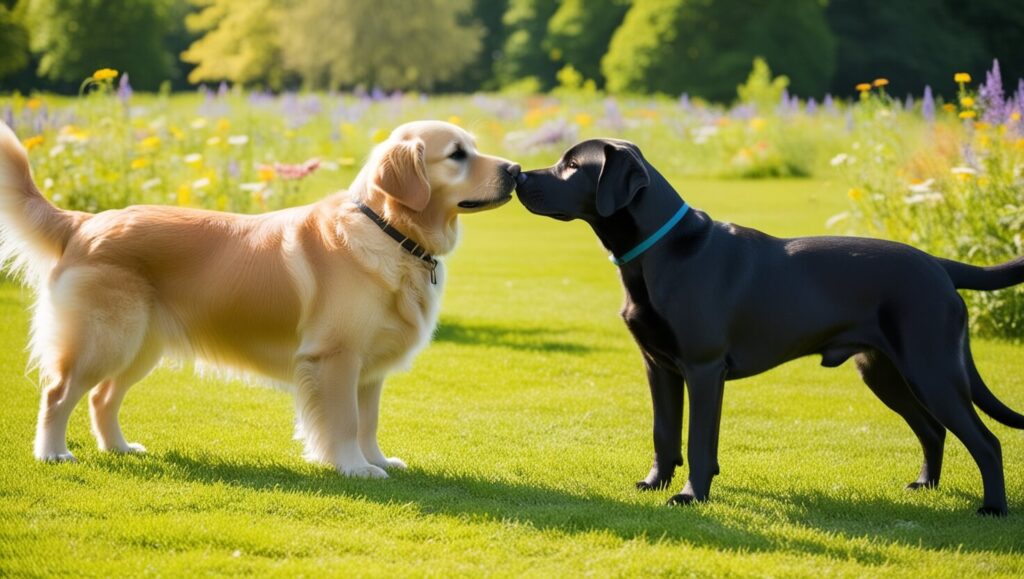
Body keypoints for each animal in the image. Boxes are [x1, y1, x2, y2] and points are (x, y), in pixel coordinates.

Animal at [516, 138, 1024, 514]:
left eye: (572, 166)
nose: (519, 174)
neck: (659, 252)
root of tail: (938, 265)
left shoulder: (703, 369)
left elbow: (698, 441)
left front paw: (690, 494)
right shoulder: (658, 366)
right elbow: (664, 433)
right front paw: (655, 482)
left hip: (931, 369)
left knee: (986, 441)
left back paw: (993, 508)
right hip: (883, 371)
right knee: (933, 430)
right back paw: (925, 485)